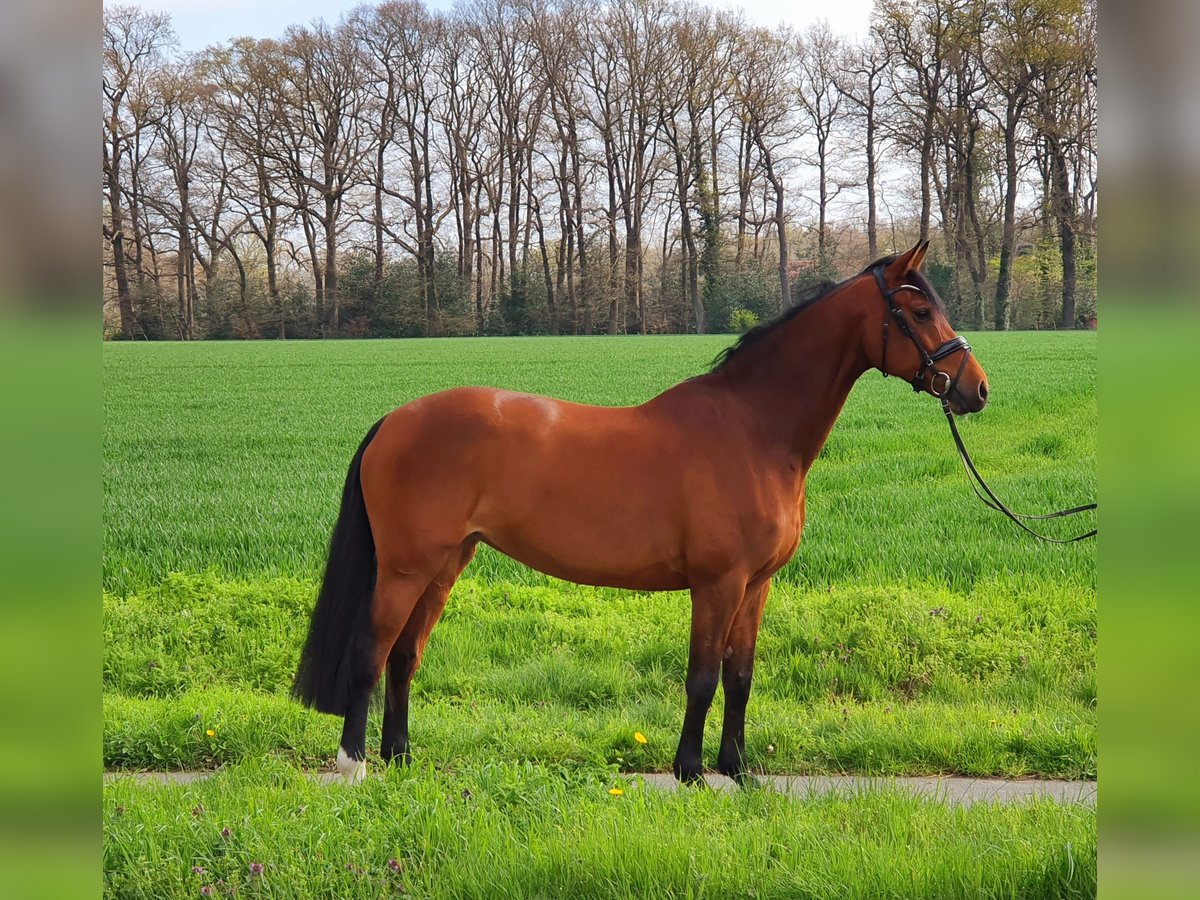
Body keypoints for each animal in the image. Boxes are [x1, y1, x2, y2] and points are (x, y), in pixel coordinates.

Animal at [295, 243, 988, 787]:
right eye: (919, 311)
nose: (975, 390)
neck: (754, 428)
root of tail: (394, 419)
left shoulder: (756, 586)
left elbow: (740, 675)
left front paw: (738, 770)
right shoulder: (717, 584)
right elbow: (702, 676)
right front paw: (691, 772)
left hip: (445, 565)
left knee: (405, 655)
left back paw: (402, 759)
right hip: (406, 569)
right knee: (371, 651)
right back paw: (355, 765)